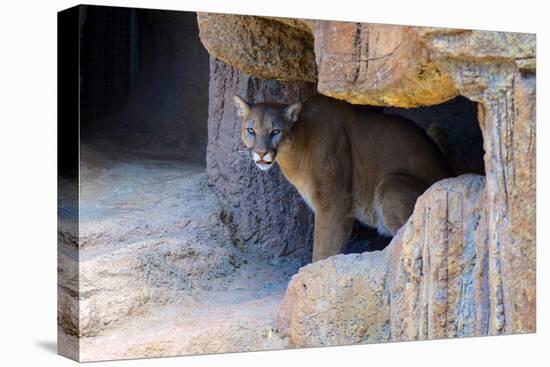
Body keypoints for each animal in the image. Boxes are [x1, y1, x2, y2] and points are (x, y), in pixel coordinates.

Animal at [235, 94, 454, 262]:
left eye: (275, 131)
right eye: (251, 130)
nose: (261, 153)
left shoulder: (333, 202)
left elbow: (323, 251)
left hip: (390, 183)